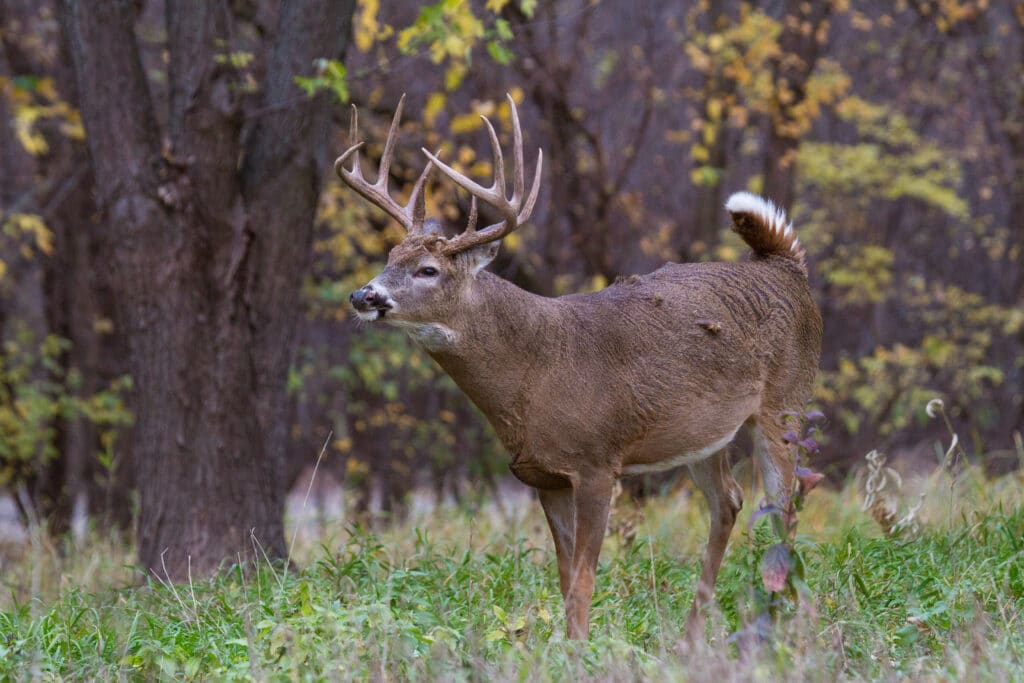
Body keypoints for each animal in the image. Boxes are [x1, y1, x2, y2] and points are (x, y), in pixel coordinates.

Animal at [339, 94, 819, 643]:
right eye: (390, 254)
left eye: (428, 270)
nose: (363, 296)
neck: (534, 372)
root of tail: (788, 268)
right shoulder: (543, 476)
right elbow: (565, 577)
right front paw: (566, 645)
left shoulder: (596, 462)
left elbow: (586, 579)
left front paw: (581, 650)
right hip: (705, 434)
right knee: (731, 503)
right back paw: (694, 634)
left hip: (786, 402)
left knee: (786, 509)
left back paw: (790, 626)